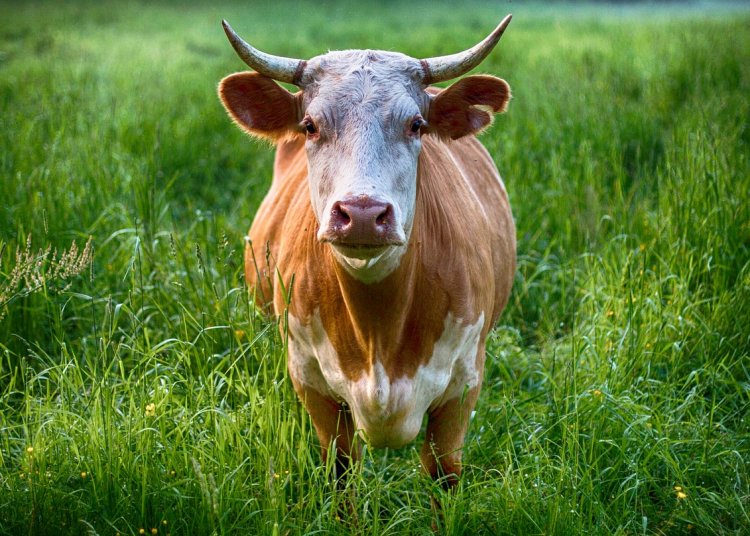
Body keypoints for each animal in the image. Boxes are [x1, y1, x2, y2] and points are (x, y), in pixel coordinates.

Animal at [218, 15, 516, 489]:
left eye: (416, 125)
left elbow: (443, 474)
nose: (361, 213)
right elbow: (341, 470)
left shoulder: (463, 386)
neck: (379, 329)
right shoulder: (310, 381)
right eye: (310, 125)